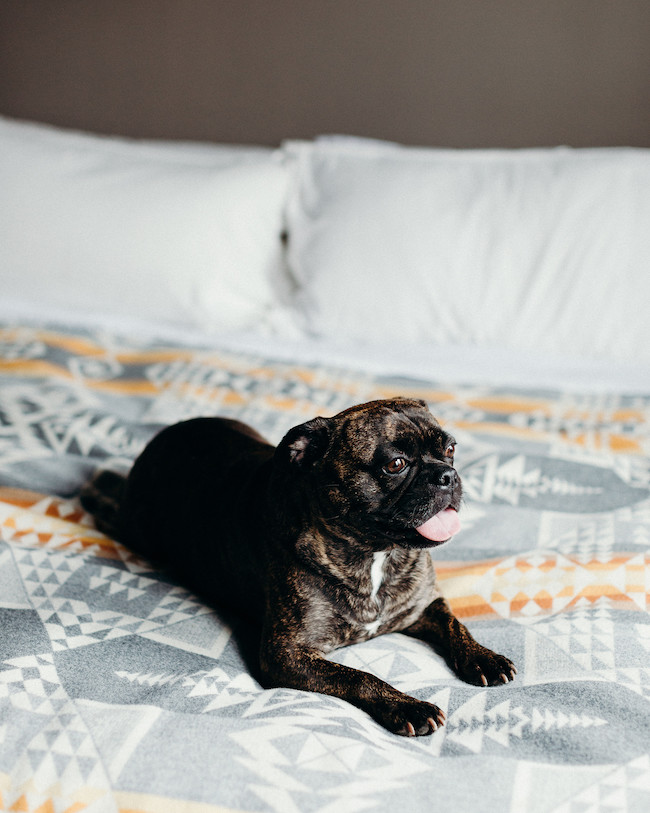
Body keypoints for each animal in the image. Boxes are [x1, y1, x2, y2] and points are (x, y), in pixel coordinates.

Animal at [81, 397, 515, 736]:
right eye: (395, 464)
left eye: (451, 449)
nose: (448, 475)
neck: (375, 553)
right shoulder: (287, 653)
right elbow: (358, 676)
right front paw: (407, 705)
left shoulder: (422, 606)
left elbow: (455, 623)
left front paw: (484, 658)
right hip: (138, 530)